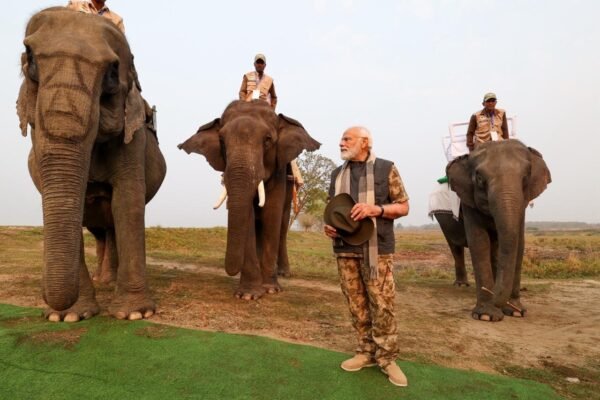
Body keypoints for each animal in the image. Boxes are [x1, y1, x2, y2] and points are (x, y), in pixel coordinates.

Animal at [16, 7, 166, 322]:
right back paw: (103, 281)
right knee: (100, 230)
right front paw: (67, 317)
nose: (45, 295)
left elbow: (127, 201)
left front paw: (134, 315)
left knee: (111, 225)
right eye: (30, 59)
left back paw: (110, 281)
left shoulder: (132, 135)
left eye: (112, 71)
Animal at [177, 100, 322, 300]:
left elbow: (271, 215)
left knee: (282, 226)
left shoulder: (279, 173)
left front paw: (270, 289)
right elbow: (249, 218)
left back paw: (283, 273)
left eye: (267, 140)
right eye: (222, 141)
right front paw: (248, 294)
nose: (231, 270)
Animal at [448, 141, 552, 322]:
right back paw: (461, 285)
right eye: (479, 178)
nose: (492, 293)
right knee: (456, 246)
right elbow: (479, 242)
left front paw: (516, 312)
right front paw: (486, 316)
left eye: (526, 177)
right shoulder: (468, 201)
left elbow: (519, 243)